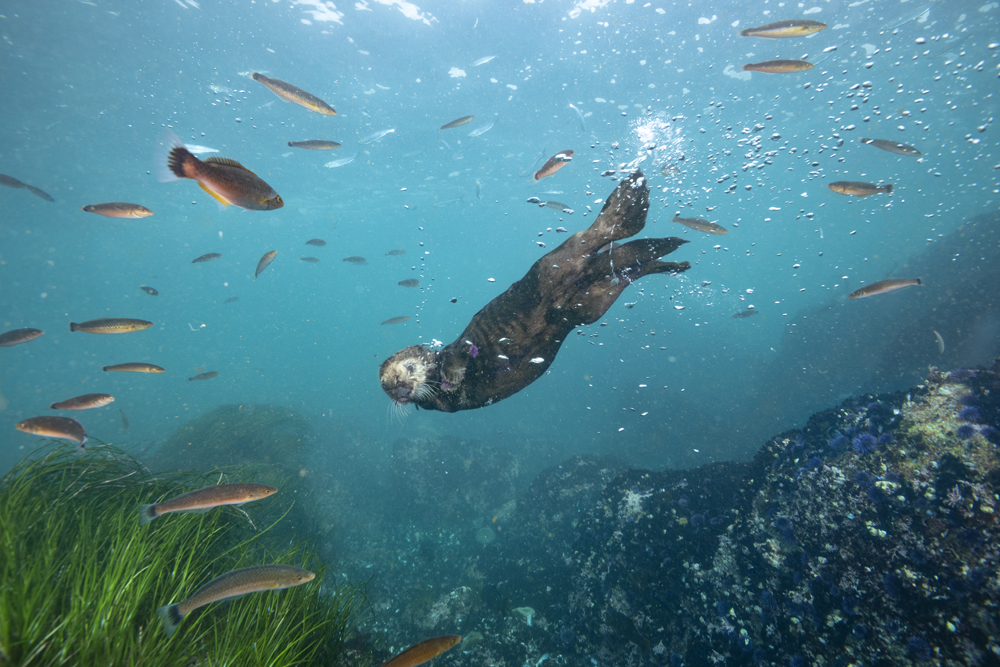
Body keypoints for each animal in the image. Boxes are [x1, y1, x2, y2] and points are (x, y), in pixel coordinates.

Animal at [379, 170, 691, 412]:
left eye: (408, 369)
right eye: (388, 386)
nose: (401, 389)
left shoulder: (461, 348)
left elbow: (459, 354)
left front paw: (451, 379)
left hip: (556, 264)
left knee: (597, 235)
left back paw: (631, 195)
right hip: (590, 301)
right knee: (625, 260)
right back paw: (674, 258)